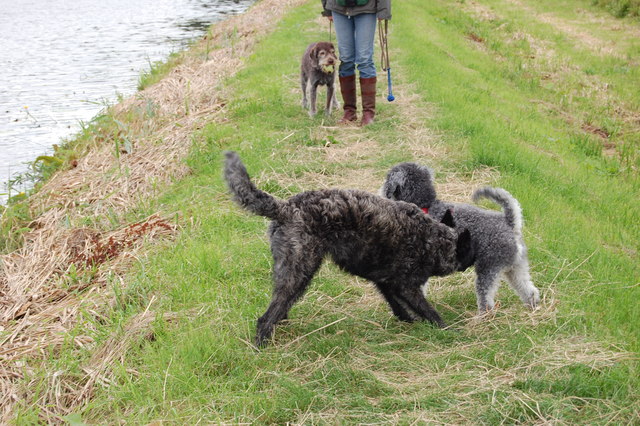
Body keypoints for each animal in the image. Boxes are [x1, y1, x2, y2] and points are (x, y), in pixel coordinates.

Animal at [225, 151, 476, 348]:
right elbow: (428, 310)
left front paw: (406, 321)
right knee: (266, 317)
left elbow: (397, 305)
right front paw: (447, 329)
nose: (474, 262)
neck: (432, 239)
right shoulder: (407, 286)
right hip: (300, 271)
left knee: (281, 305)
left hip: (291, 272)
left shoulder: (385, 282)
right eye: (470, 250)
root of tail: (285, 208)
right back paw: (261, 346)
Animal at [380, 162, 540, 312]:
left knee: (486, 301)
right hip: (516, 268)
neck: (426, 207)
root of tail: (510, 223)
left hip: (488, 269)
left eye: (388, 177)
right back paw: (532, 308)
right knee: (530, 291)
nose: (382, 191)